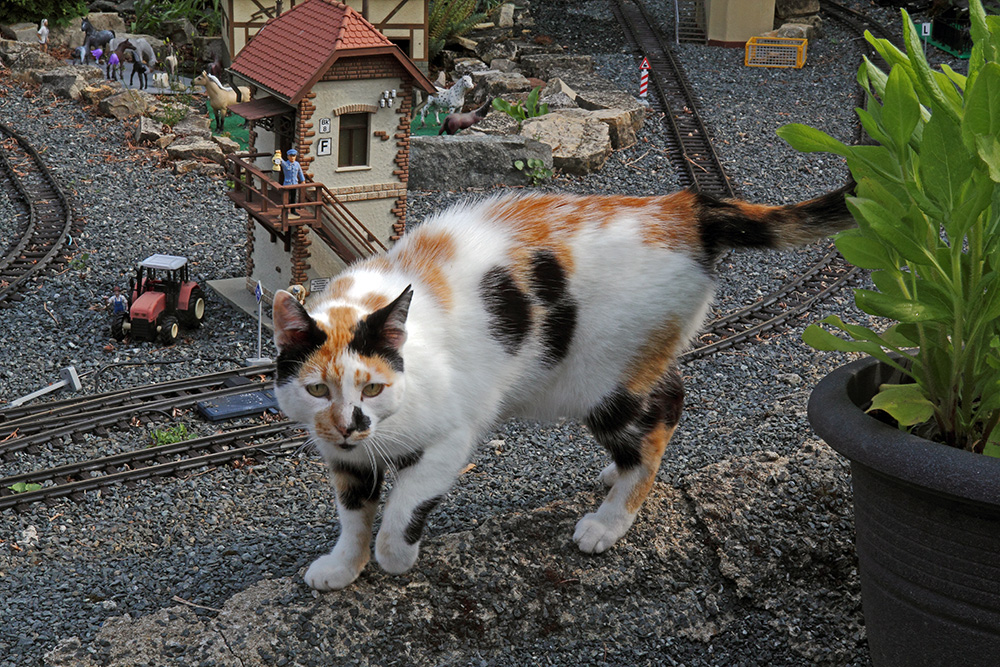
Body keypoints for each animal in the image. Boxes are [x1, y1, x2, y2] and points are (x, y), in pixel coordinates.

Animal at [272, 185, 852, 592]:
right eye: (318, 390)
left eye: (371, 389)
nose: (350, 424)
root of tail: (679, 206)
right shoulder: (344, 459)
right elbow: (354, 514)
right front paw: (343, 567)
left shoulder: (451, 438)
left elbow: (403, 506)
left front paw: (394, 556)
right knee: (669, 397)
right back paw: (614, 476)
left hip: (603, 379)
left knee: (658, 420)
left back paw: (610, 521)